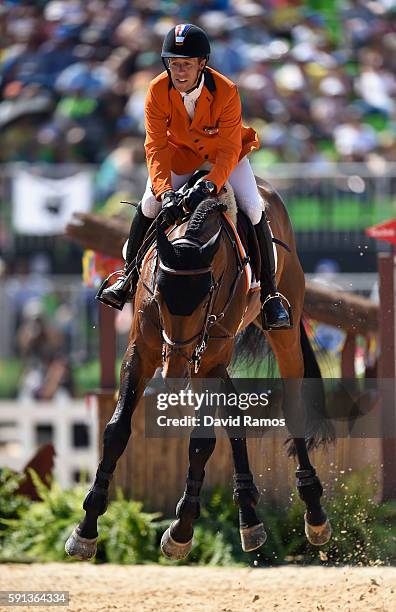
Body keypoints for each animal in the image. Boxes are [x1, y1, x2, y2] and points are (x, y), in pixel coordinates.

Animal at [65, 176, 332, 560]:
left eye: (208, 293)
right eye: (159, 293)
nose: (174, 373)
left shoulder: (205, 364)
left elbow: (201, 443)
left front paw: (181, 531)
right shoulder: (142, 353)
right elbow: (115, 431)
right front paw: (85, 530)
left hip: (278, 334)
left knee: (293, 407)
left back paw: (313, 512)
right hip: (215, 363)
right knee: (234, 414)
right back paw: (249, 516)